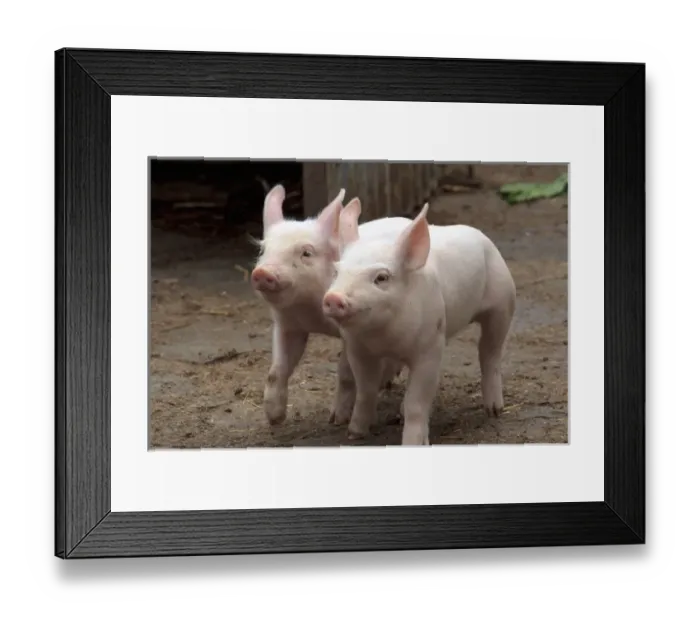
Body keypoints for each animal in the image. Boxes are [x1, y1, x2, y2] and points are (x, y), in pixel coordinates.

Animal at [250, 184, 408, 428]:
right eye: (262, 250)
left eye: (306, 252)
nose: (262, 272)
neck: (310, 313)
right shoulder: (288, 326)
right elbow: (277, 370)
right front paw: (274, 419)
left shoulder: (350, 331)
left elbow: (345, 374)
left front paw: (337, 420)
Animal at [321, 199, 516, 446]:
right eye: (337, 271)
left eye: (382, 277)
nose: (333, 298)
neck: (382, 337)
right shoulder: (358, 349)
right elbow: (366, 390)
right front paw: (355, 433)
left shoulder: (430, 346)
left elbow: (417, 401)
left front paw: (412, 443)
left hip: (503, 303)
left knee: (490, 353)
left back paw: (494, 410)